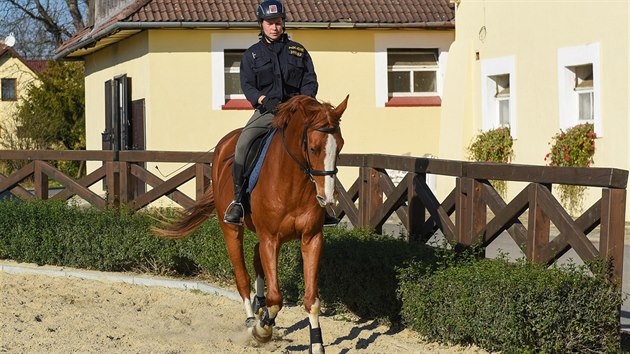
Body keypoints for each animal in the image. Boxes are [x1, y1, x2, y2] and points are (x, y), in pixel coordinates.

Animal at [153, 94, 350, 354]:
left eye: (340, 146)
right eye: (313, 148)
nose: (327, 198)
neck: (294, 183)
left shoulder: (311, 238)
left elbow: (312, 300)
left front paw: (316, 345)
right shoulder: (270, 239)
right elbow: (276, 298)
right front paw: (262, 329)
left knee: (256, 257)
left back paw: (259, 305)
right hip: (232, 230)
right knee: (242, 277)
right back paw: (251, 320)